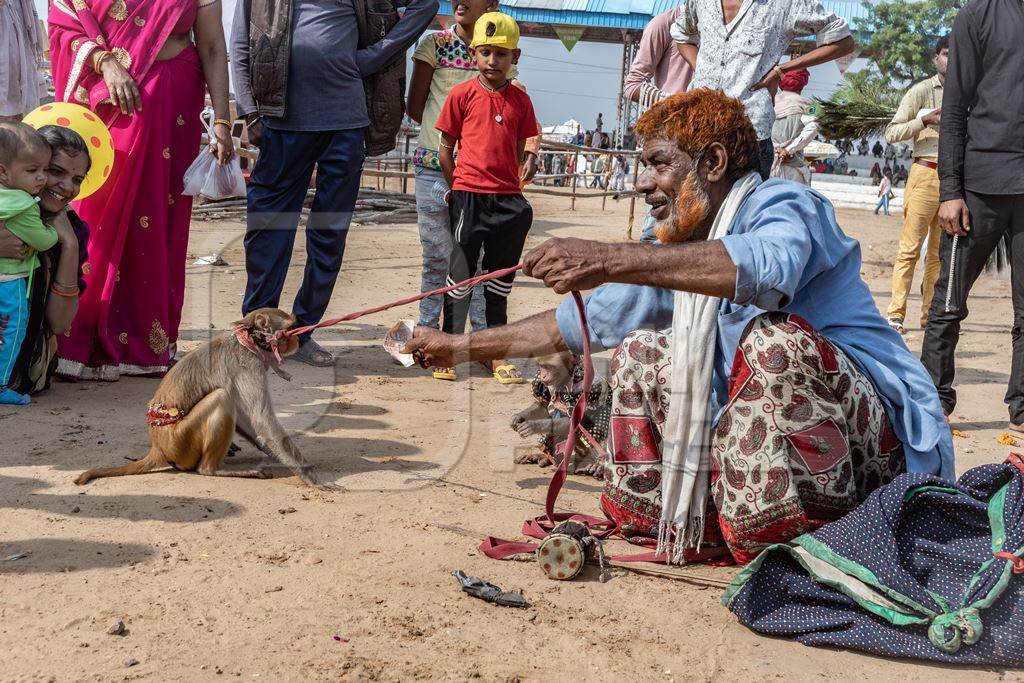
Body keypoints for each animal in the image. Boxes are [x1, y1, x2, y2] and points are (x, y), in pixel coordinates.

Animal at [75, 309, 339, 491]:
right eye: (291, 329)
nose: (298, 340)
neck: (248, 342)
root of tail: (157, 447)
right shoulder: (249, 366)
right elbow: (262, 419)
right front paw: (311, 477)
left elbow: (250, 421)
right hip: (181, 442)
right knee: (221, 398)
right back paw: (213, 470)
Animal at [509, 350, 606, 479]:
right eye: (542, 366)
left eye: (550, 367)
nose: (544, 376)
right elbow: (544, 405)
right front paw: (519, 417)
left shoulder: (589, 388)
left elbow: (575, 420)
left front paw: (531, 426)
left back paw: (596, 466)